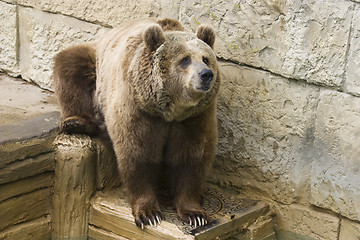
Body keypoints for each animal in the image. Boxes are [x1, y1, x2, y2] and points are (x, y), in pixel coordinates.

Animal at [53, 18, 221, 229]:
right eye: (185, 59)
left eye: (206, 58)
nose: (206, 74)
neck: (170, 111)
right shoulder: (139, 109)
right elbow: (138, 155)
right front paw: (149, 214)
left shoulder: (194, 118)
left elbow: (191, 159)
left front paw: (195, 214)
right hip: (95, 64)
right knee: (70, 66)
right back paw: (75, 122)